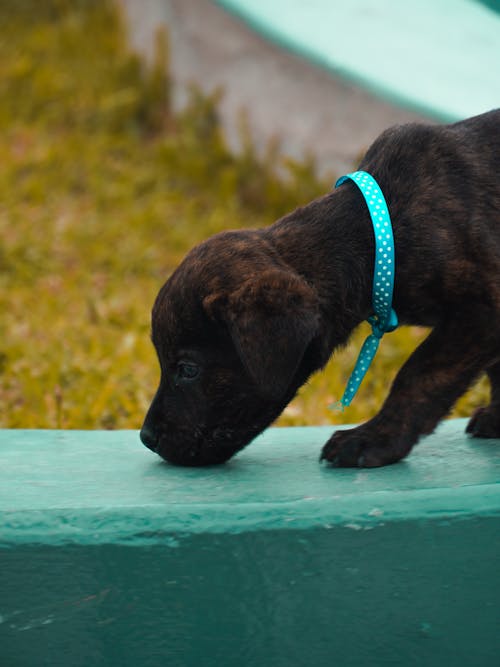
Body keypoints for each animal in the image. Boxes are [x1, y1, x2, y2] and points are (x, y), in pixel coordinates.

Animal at [140, 108, 500, 470]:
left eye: (188, 370)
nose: (146, 438)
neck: (375, 235)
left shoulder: (479, 312)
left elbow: (418, 375)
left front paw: (373, 440)